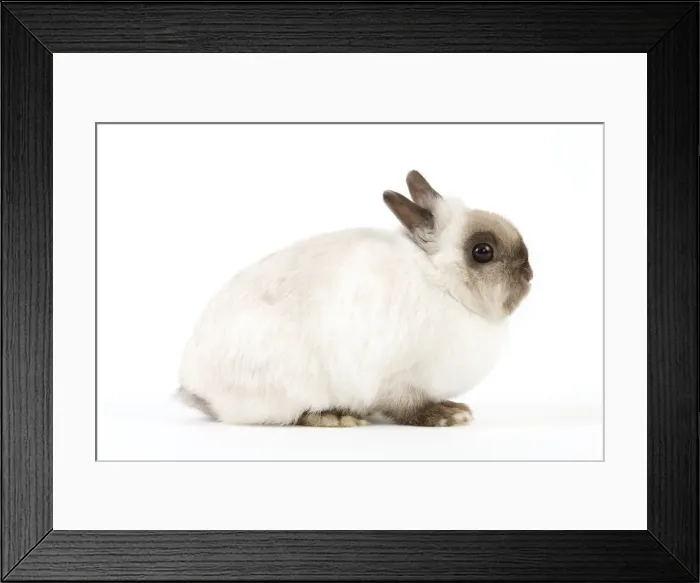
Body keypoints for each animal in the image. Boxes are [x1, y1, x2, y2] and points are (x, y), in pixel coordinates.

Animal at [177, 170, 533, 427]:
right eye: (482, 251)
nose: (529, 275)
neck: (443, 283)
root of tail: (197, 387)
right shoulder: (396, 379)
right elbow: (407, 407)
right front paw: (450, 415)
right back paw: (336, 417)